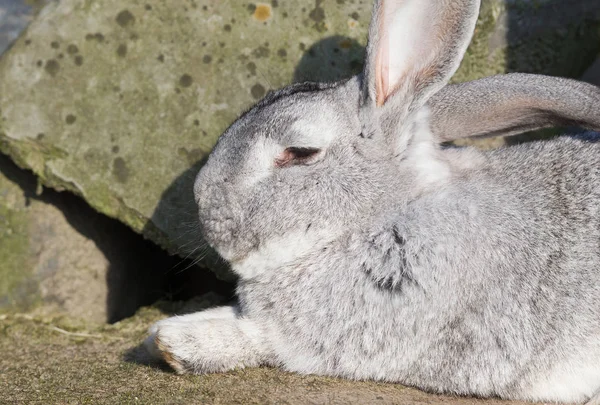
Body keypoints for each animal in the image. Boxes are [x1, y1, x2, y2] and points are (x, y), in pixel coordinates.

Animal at [143, 1, 600, 402]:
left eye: (301, 152)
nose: (202, 198)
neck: (383, 214)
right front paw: (162, 335)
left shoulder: (343, 336)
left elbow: (260, 340)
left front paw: (176, 342)